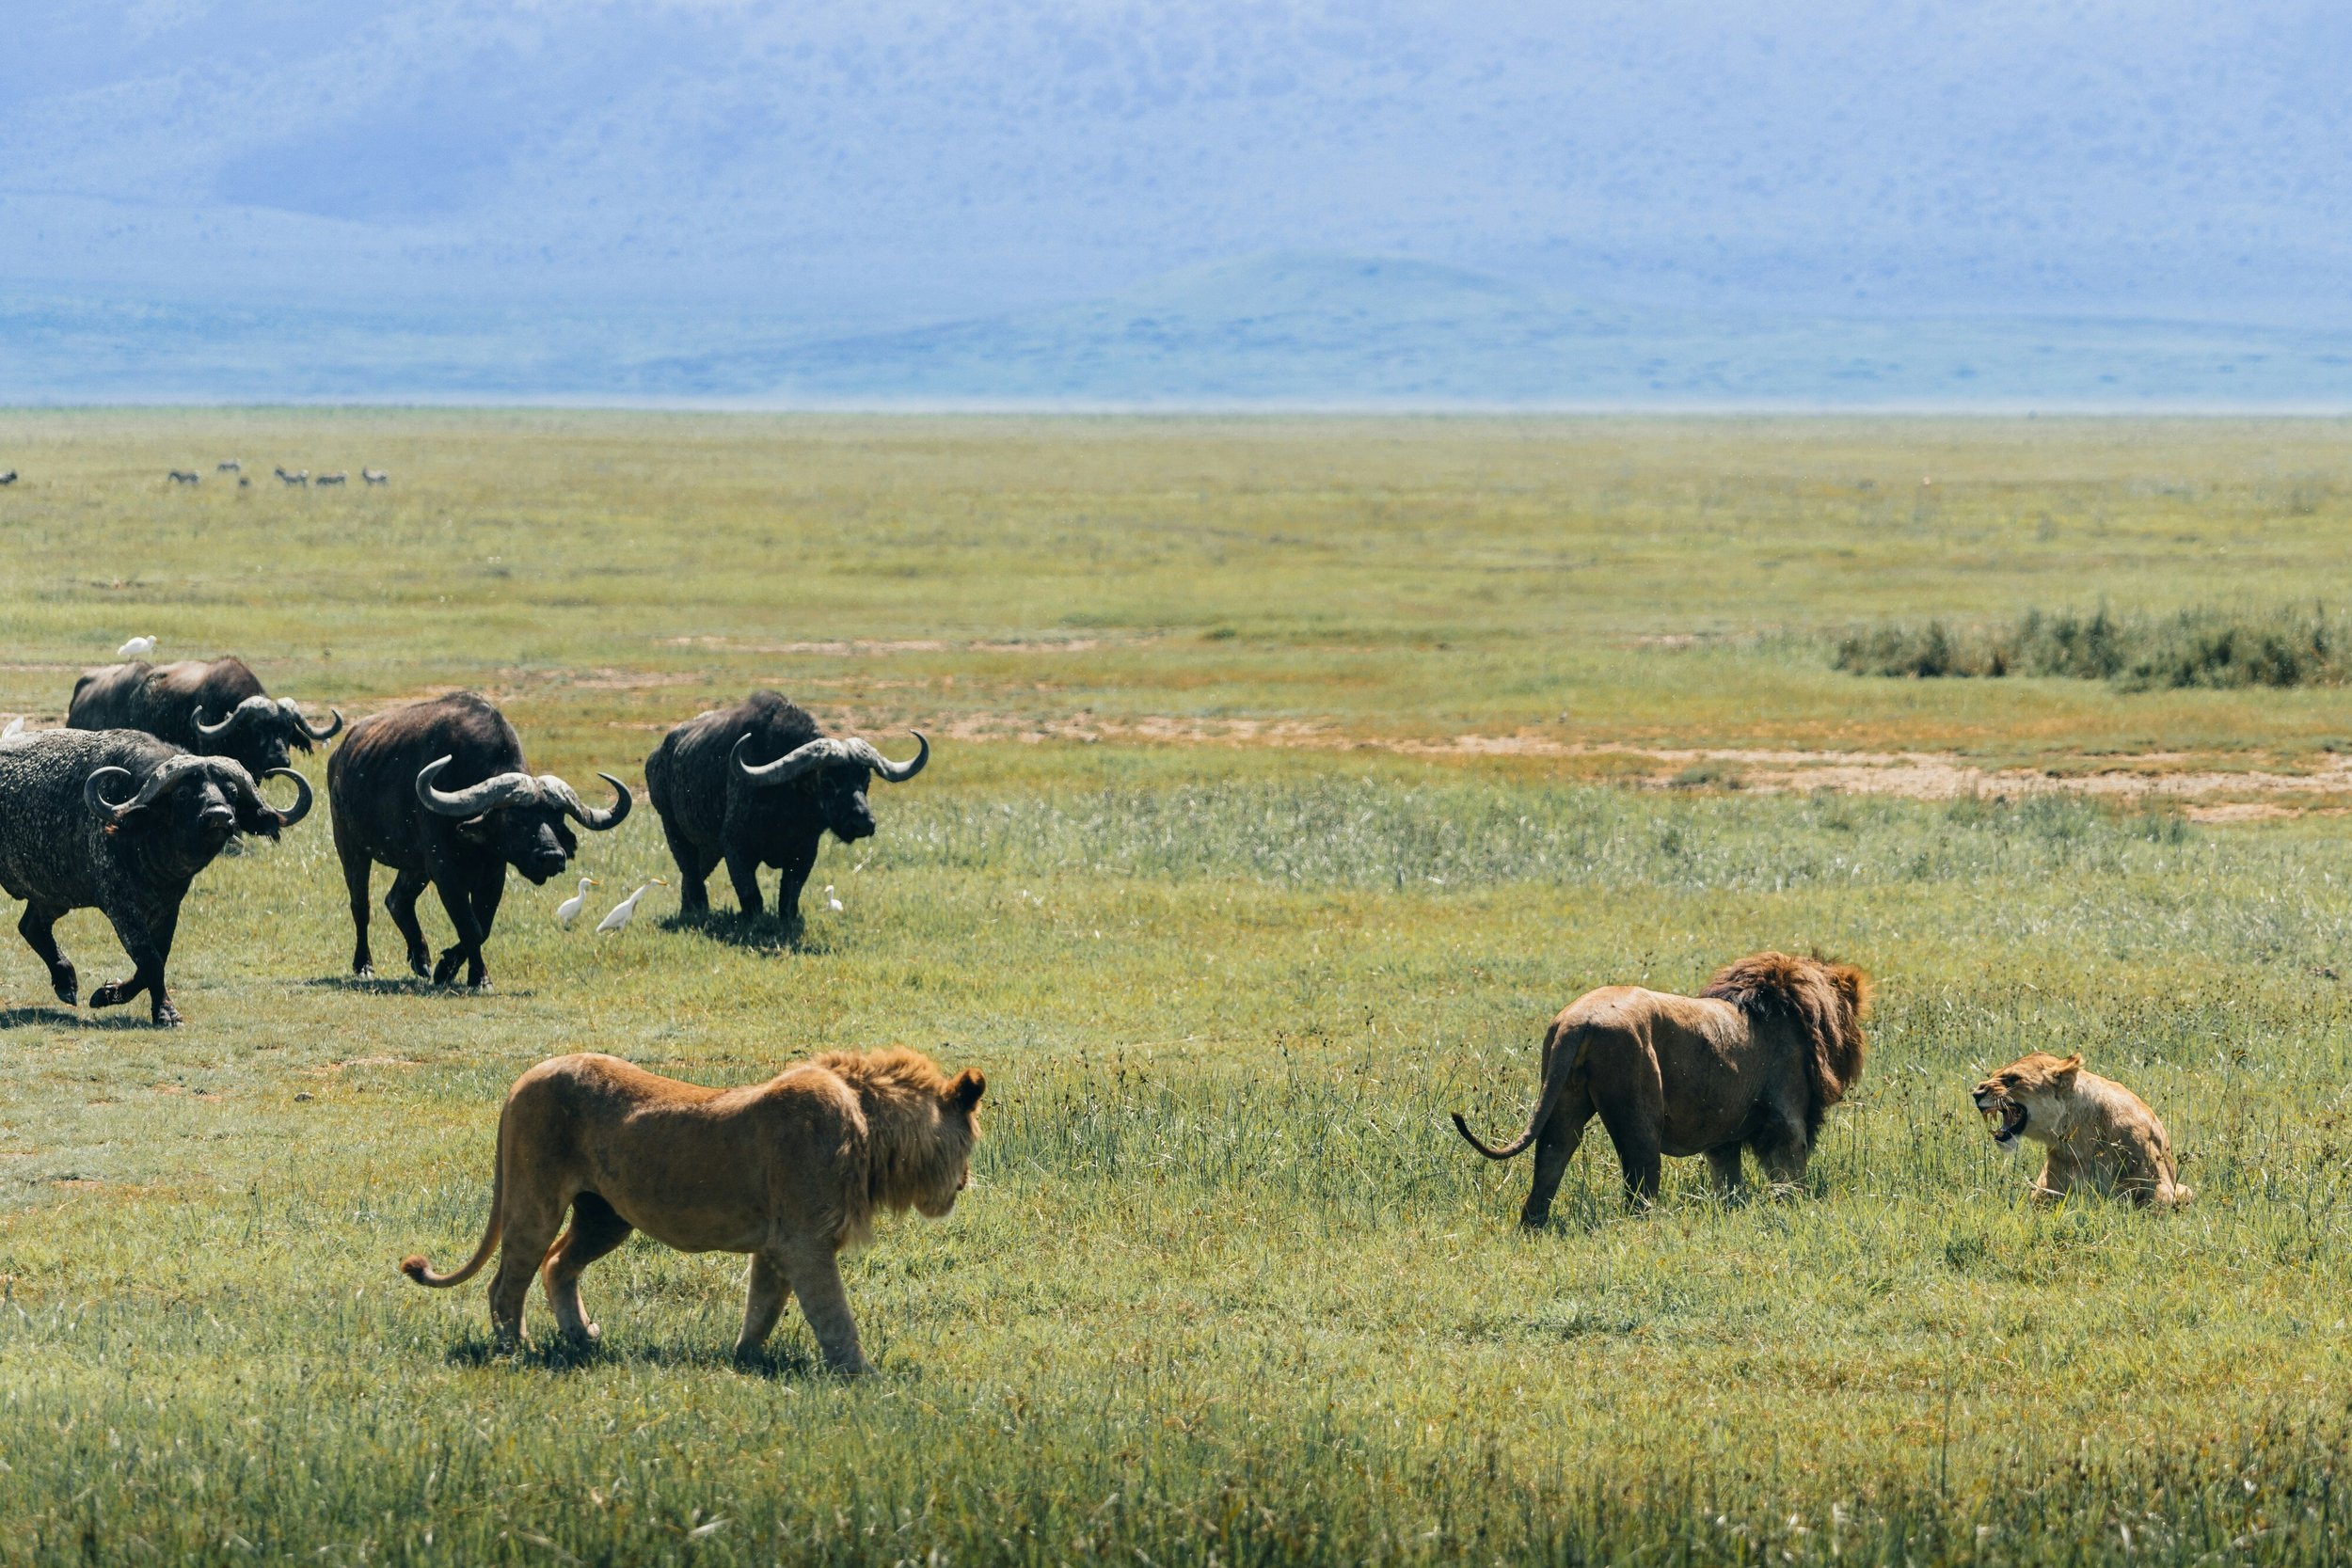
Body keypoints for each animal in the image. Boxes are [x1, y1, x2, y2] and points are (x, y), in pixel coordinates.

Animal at [399, 1046, 984, 1372]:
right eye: (972, 1142)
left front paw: (745, 1361)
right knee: (507, 1283)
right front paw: (862, 1376)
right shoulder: (804, 1241)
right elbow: (833, 1316)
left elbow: (763, 1307)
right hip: (535, 1200)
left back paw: (583, 1339)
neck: (870, 1125)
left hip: (605, 1216)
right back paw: (516, 1350)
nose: (964, 1183)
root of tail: (521, 1080)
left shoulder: (778, 1245)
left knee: (558, 1265)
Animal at [1452, 951, 1869, 1222]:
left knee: (1551, 1158)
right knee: (1639, 1181)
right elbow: (1788, 1170)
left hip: (1563, 1099)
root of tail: (1577, 1021)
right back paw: (1648, 1227)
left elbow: (1728, 1179)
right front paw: (1795, 1206)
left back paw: (1533, 1226)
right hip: (1637, 1105)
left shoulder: (1723, 1133)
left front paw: (1734, 1210)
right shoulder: (1787, 1116)